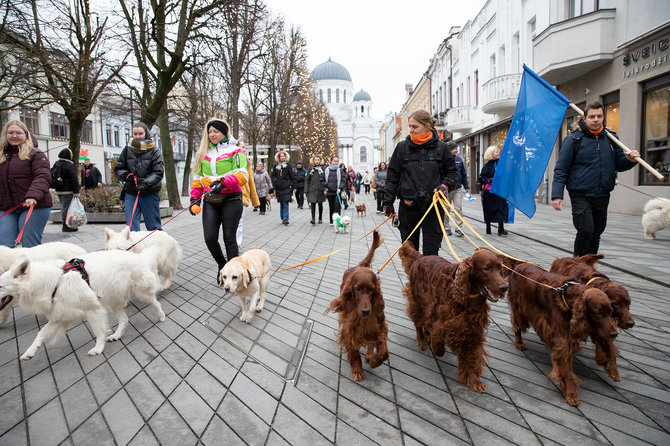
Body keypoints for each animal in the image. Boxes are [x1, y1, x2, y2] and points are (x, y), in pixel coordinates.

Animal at [0, 249, 166, 360]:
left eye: (0, 286)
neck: (55, 282)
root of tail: (139, 257)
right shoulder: (60, 316)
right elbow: (40, 334)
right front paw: (29, 352)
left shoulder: (93, 309)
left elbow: (99, 332)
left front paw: (98, 348)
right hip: (114, 300)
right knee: (124, 320)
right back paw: (117, 335)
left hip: (140, 293)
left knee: (155, 301)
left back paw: (161, 315)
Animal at [326, 230, 388, 380]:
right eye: (358, 288)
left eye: (371, 289)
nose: (366, 311)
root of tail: (358, 266)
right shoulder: (349, 329)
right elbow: (353, 351)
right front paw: (357, 370)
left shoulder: (380, 325)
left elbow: (384, 351)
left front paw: (375, 360)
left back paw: (370, 354)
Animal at [402, 242, 506, 392]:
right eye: (486, 268)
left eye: (499, 268)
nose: (505, 287)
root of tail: (420, 257)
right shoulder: (441, 319)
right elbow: (438, 339)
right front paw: (436, 347)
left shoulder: (472, 329)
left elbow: (471, 356)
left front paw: (474, 380)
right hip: (417, 302)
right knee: (418, 323)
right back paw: (422, 340)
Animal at [512, 264, 624, 406]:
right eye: (598, 313)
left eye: (610, 311)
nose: (614, 333)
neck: (567, 296)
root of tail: (519, 265)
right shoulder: (562, 338)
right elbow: (564, 366)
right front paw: (571, 394)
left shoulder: (593, 327)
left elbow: (608, 347)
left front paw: (614, 370)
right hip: (518, 308)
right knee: (517, 326)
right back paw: (519, 343)